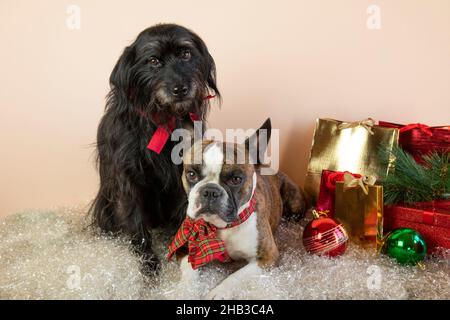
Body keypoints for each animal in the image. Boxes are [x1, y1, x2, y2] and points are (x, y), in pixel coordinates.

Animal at [90, 23, 220, 272]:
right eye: (153, 61)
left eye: (186, 54)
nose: (181, 89)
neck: (162, 118)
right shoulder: (128, 177)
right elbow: (136, 220)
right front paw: (148, 262)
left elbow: (184, 209)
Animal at [172, 120, 306, 300]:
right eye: (191, 174)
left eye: (236, 179)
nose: (210, 191)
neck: (221, 227)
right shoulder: (184, 249)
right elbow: (189, 271)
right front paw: (184, 291)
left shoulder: (267, 256)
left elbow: (236, 276)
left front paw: (219, 292)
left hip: (295, 206)